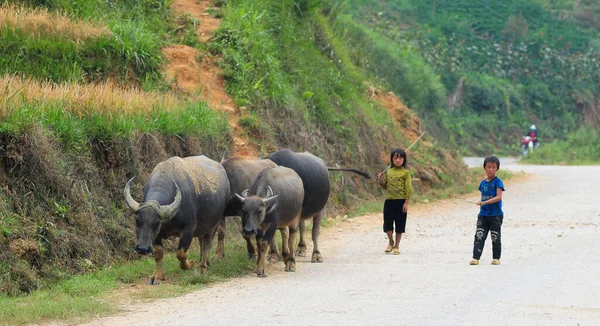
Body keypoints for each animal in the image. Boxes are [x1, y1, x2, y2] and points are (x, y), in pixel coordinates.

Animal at [123, 155, 230, 286]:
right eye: (137, 221)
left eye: (156, 224)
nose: (142, 249)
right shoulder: (157, 235)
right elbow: (159, 253)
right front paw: (157, 276)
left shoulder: (189, 229)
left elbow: (181, 253)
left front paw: (190, 264)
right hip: (203, 227)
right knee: (202, 241)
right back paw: (205, 263)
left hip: (215, 223)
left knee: (207, 244)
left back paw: (201, 267)